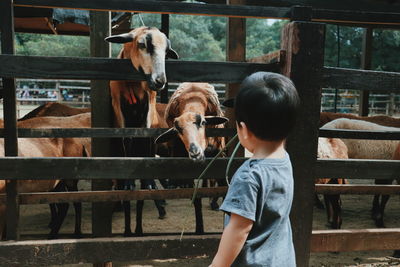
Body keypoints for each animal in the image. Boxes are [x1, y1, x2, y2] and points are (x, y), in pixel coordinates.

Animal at [105, 26, 177, 237]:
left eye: (166, 52)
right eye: (142, 44)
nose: (160, 80)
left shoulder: (147, 108)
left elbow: (144, 138)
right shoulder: (118, 108)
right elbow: (126, 138)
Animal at [155, 83, 227, 234]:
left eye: (203, 122)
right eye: (178, 129)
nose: (195, 152)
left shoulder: (219, 156)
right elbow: (196, 198)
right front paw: (199, 228)